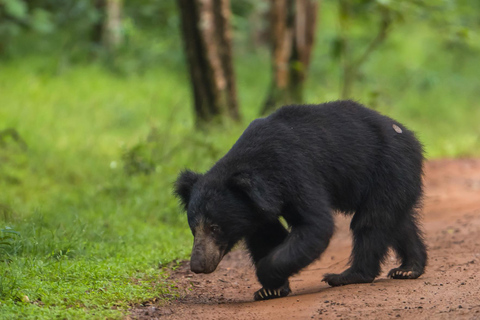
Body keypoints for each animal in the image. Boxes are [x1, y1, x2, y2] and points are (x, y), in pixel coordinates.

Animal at [173, 100, 428, 300]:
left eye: (215, 227)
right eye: (193, 229)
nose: (198, 266)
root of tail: (409, 135)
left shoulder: (296, 171)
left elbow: (315, 225)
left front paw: (267, 277)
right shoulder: (255, 208)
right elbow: (266, 234)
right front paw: (271, 289)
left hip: (387, 167)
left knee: (371, 221)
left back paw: (348, 275)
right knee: (397, 221)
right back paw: (409, 268)